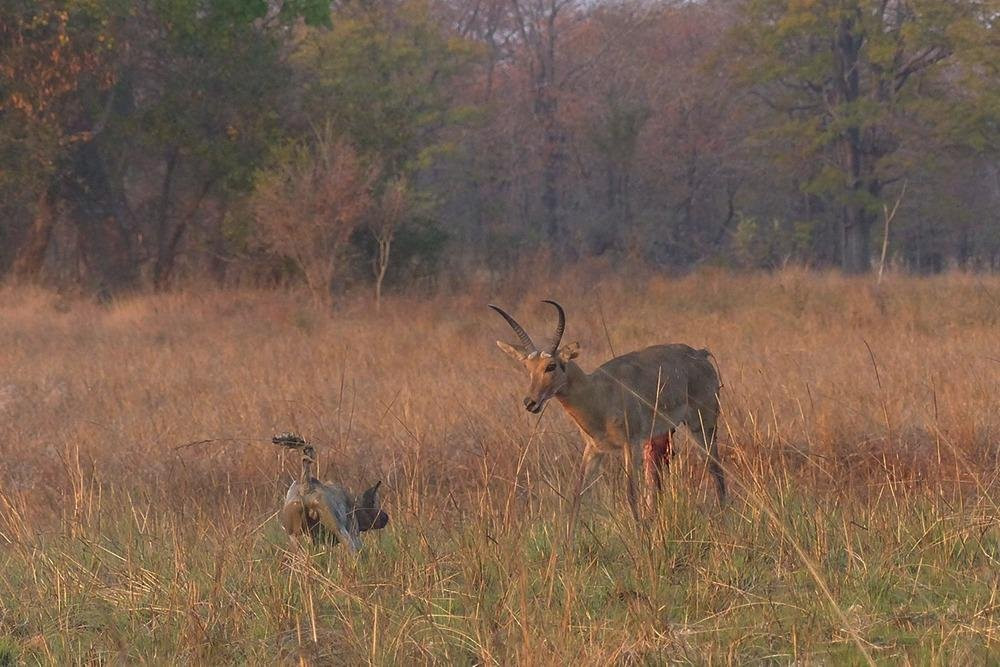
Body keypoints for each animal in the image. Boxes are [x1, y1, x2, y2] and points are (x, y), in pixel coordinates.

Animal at [492, 300, 728, 524]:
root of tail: (700, 354)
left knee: (715, 467)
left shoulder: (629, 445)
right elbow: (577, 496)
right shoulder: (594, 449)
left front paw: (640, 535)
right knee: (657, 475)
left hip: (702, 424)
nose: (530, 402)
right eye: (527, 367)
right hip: (662, 436)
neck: (599, 394)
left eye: (551, 365)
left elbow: (630, 494)